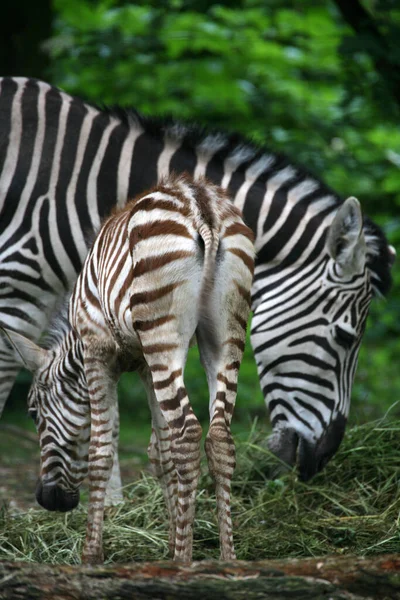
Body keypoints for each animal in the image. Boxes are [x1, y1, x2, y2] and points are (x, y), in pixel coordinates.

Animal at [1, 173, 255, 564]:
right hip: (224, 333)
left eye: (33, 412)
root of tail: (200, 201)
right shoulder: (146, 364)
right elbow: (160, 451)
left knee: (188, 434)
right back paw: (227, 558)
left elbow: (101, 452)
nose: (48, 500)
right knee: (219, 439)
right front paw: (171, 539)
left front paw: (92, 553)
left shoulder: (97, 349)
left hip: (163, 333)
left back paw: (183, 562)